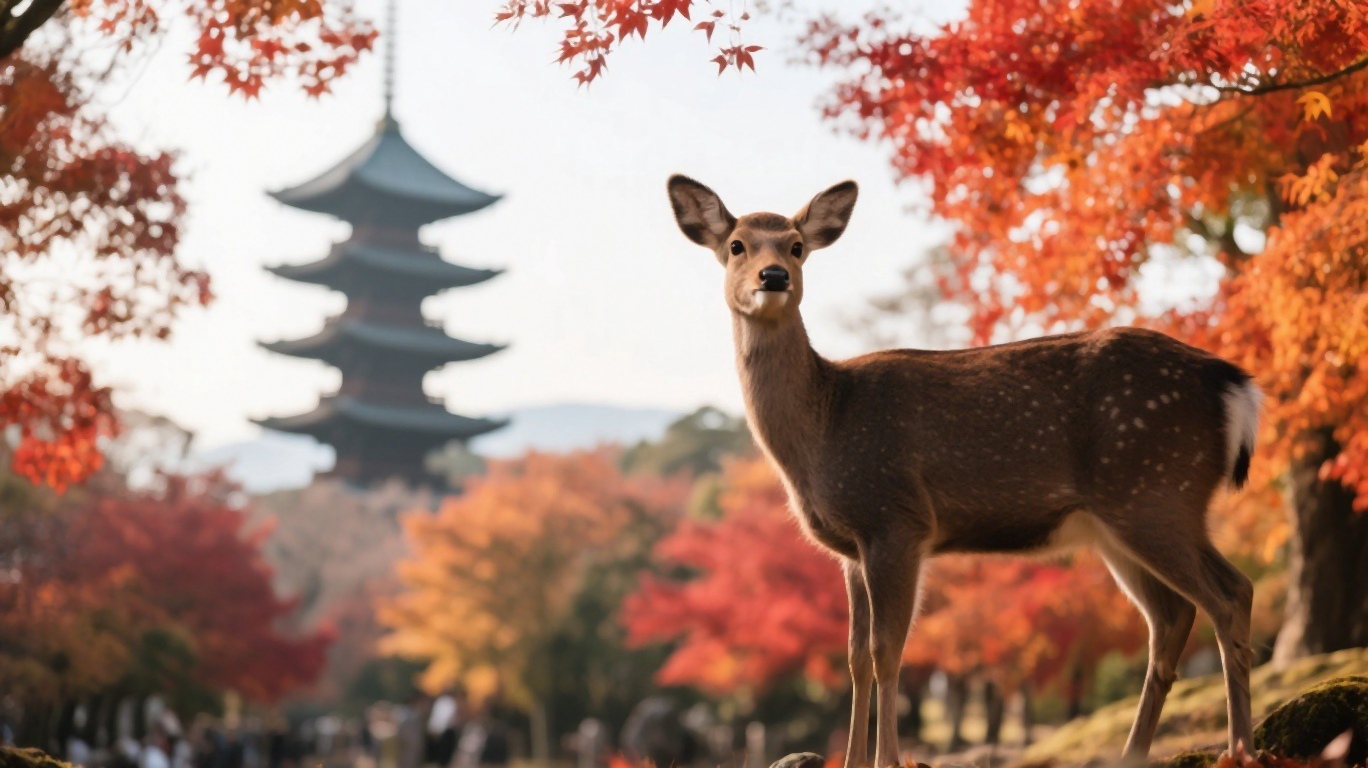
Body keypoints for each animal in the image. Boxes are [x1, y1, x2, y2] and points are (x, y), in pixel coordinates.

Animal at [665, 175, 1262, 768]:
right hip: (1120, 522)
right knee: (1171, 617)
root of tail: (1232, 382)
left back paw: (1240, 749)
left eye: (795, 246)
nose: (773, 277)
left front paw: (888, 761)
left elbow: (887, 650)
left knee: (1230, 593)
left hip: (1156, 488)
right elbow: (855, 656)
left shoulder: (896, 519)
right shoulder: (851, 550)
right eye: (736, 246)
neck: (823, 425)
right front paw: (856, 760)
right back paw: (1134, 753)